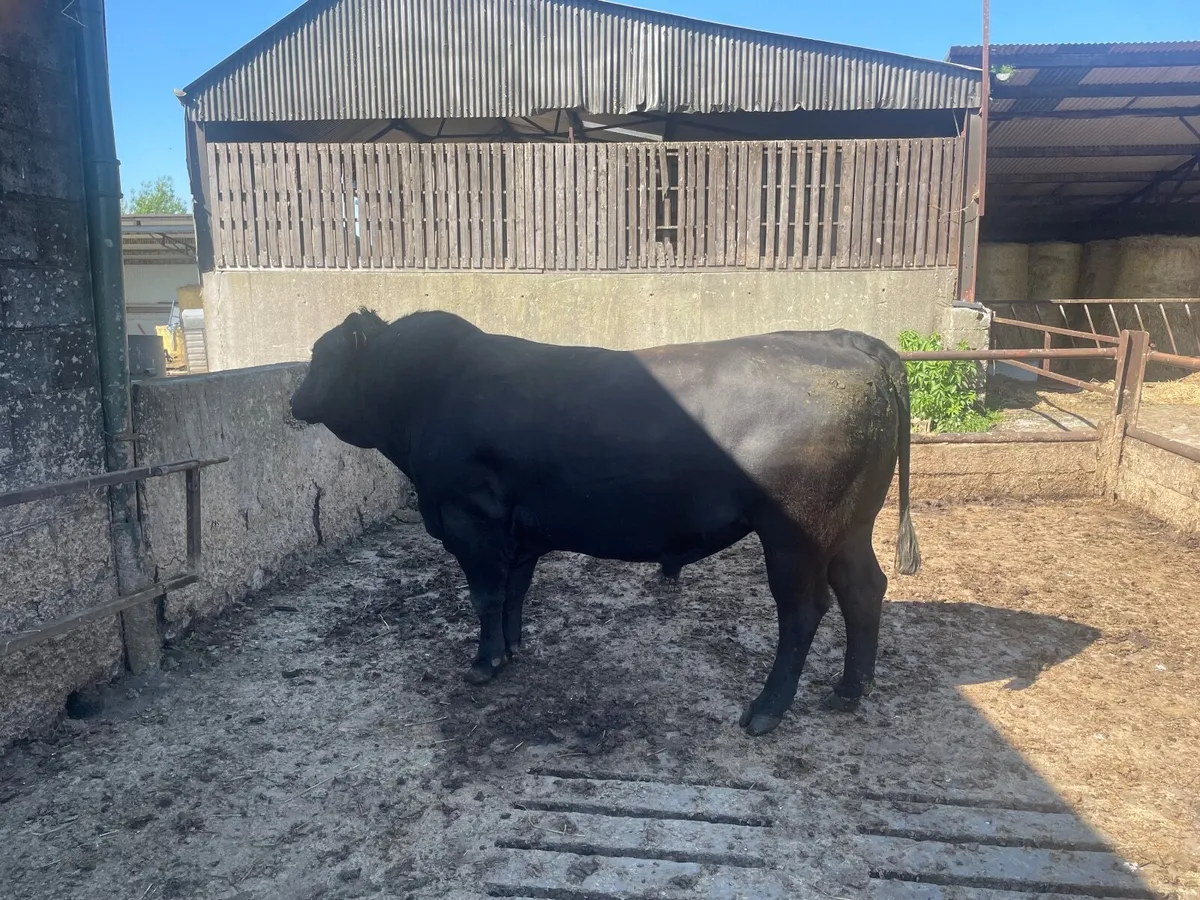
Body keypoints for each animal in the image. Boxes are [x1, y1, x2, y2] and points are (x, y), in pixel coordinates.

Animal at [289, 309, 920, 736]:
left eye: (320, 356)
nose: (294, 399)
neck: (428, 391)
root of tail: (845, 340)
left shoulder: (472, 520)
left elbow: (486, 595)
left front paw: (484, 663)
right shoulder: (519, 531)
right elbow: (515, 589)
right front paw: (513, 648)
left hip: (796, 532)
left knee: (803, 612)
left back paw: (767, 710)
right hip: (849, 527)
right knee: (864, 590)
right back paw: (849, 690)